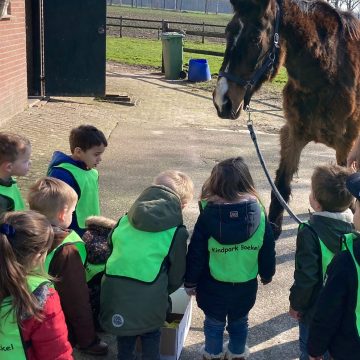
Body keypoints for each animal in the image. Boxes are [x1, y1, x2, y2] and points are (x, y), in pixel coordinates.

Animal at [214, 0, 360, 239]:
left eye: (255, 38)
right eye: (228, 32)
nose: (222, 101)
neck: (330, 69)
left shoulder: (346, 147)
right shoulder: (294, 135)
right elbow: (280, 189)